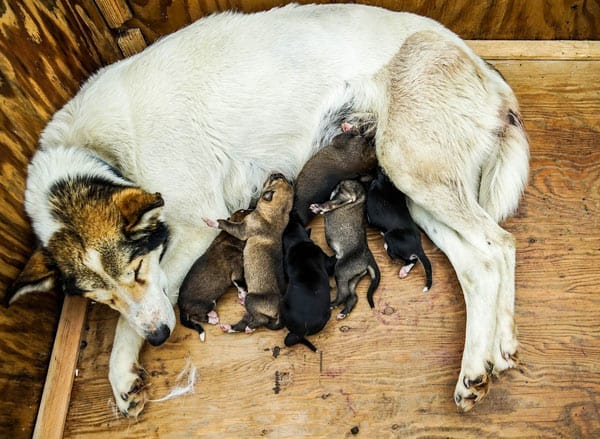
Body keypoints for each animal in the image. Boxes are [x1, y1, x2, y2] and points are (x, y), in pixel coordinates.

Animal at [178, 208, 253, 342]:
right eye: (244, 211)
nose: (253, 207)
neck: (228, 236)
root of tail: (180, 307)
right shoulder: (237, 273)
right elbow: (242, 287)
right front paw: (243, 298)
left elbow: (240, 288)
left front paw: (240, 297)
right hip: (207, 304)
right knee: (198, 317)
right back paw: (213, 318)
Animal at [204, 174, 292, 334]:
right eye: (279, 179)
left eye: (273, 180)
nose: (277, 173)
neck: (277, 213)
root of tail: (278, 311)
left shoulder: (242, 230)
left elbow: (226, 224)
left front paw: (212, 221)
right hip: (249, 309)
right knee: (246, 321)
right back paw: (230, 327)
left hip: (251, 300)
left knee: (260, 320)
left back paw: (249, 328)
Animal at [310, 179, 380, 320]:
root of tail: (368, 257)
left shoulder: (347, 195)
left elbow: (330, 203)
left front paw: (319, 207)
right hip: (352, 277)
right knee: (352, 296)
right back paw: (343, 312)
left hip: (341, 271)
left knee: (343, 294)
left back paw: (333, 305)